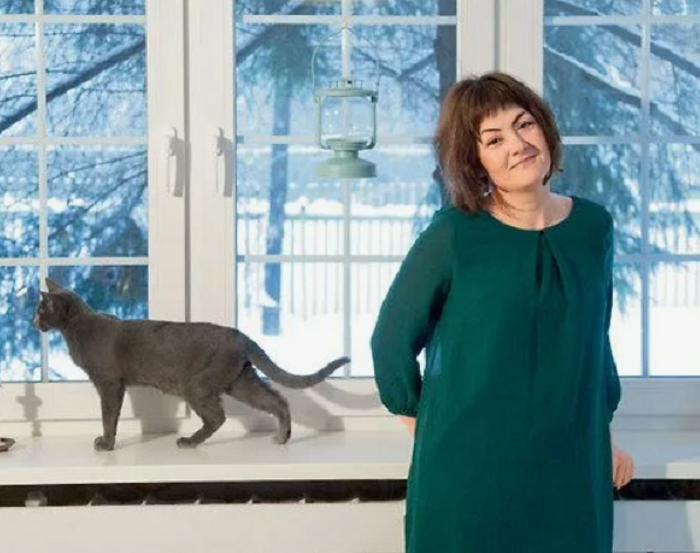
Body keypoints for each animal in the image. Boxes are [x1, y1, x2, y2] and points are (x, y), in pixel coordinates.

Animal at [33, 278, 349, 450]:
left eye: (40, 310)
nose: (34, 322)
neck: (79, 325)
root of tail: (239, 335)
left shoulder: (109, 384)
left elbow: (109, 417)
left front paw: (106, 444)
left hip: (197, 385)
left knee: (218, 417)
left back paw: (189, 441)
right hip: (240, 381)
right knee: (278, 400)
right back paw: (282, 437)